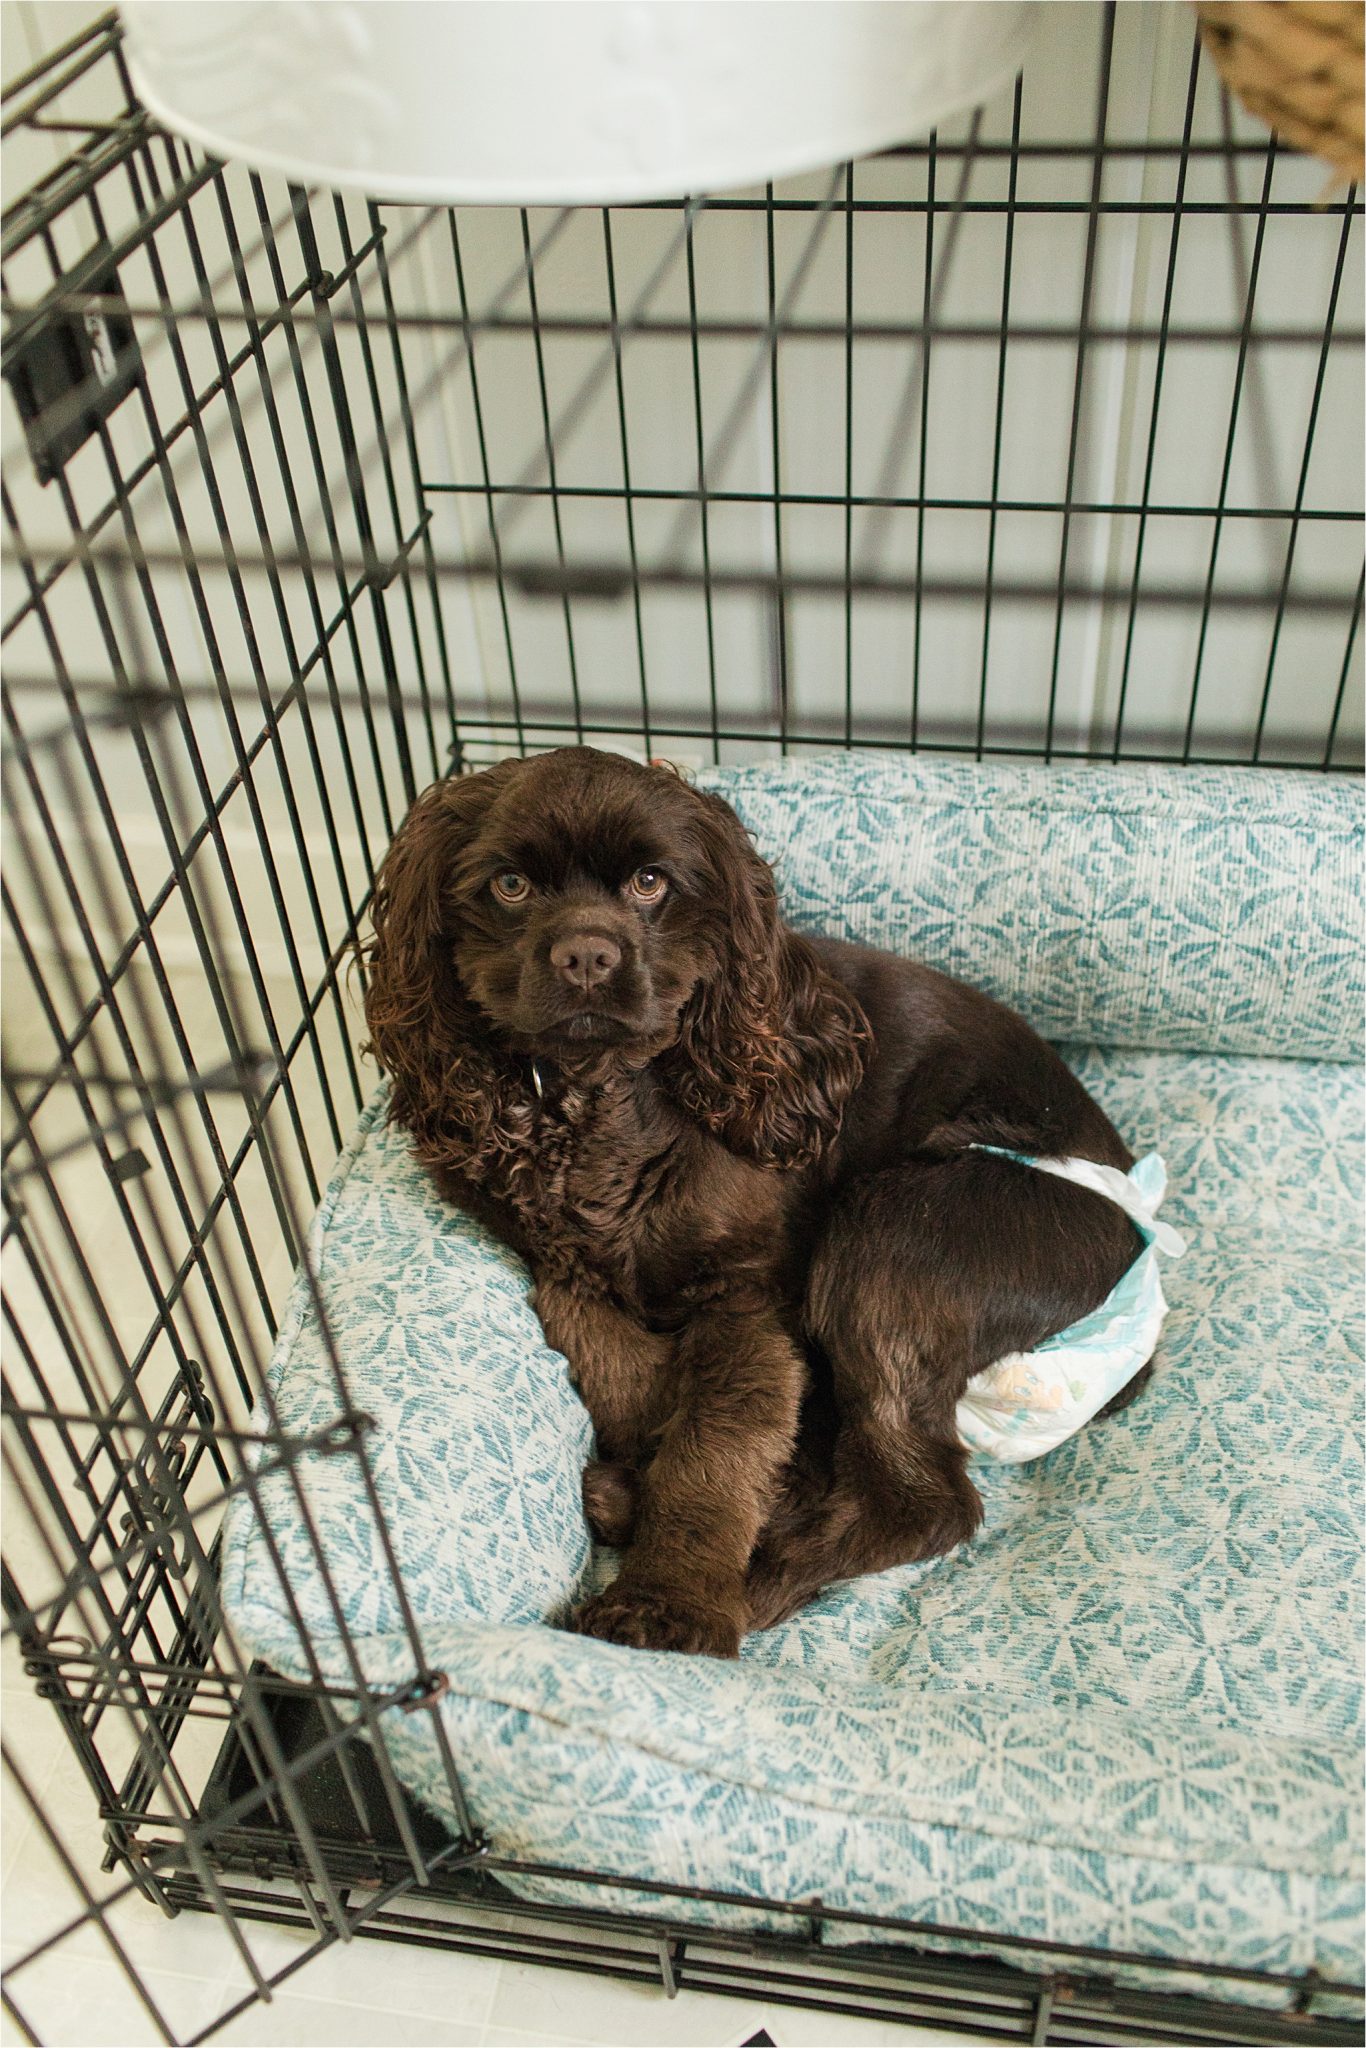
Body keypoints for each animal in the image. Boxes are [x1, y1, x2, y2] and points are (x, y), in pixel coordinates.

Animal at [360, 745, 1146, 1654]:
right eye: (511, 886)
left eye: (650, 883)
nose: (587, 957)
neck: (600, 1105)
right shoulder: (565, 1273)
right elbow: (622, 1373)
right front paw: (645, 1482)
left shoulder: (745, 1292)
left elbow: (716, 1449)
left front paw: (668, 1604)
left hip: (895, 1233)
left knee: (925, 1502)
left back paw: (747, 1585)